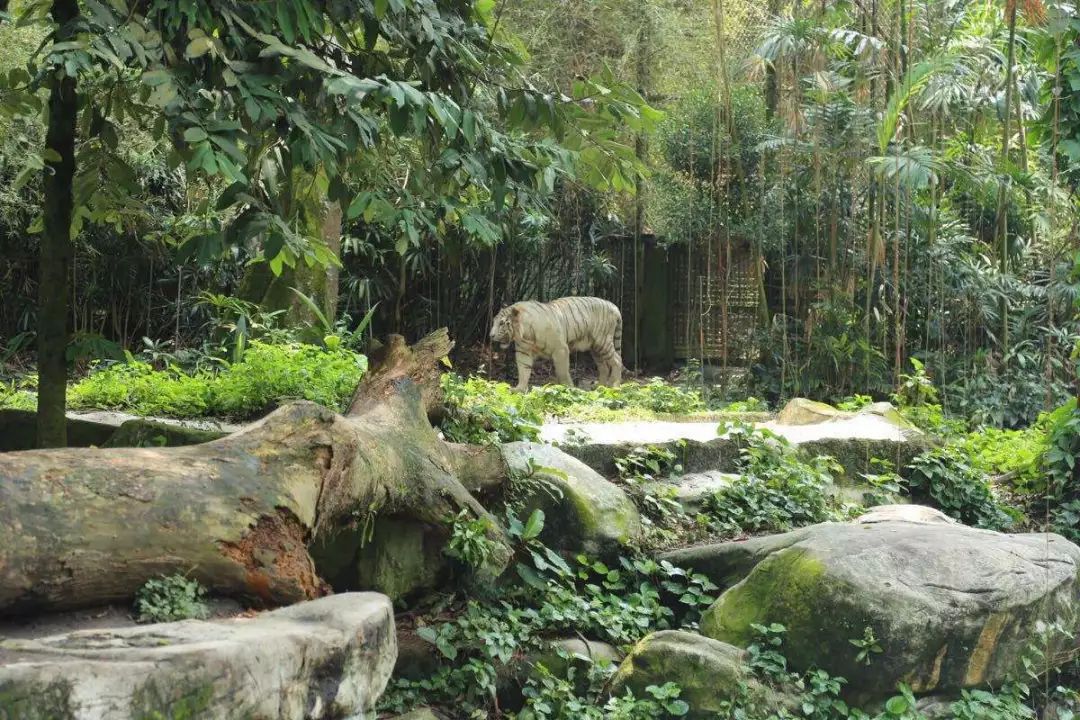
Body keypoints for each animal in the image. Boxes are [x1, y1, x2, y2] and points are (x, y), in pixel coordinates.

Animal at [492, 295, 626, 390]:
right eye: (495, 322)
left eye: (502, 323)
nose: (491, 335)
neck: (525, 335)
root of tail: (613, 306)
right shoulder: (524, 351)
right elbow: (523, 370)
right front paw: (519, 389)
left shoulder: (561, 349)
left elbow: (562, 371)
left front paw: (568, 387)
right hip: (595, 349)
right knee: (603, 366)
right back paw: (600, 386)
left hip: (603, 342)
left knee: (617, 360)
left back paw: (614, 385)